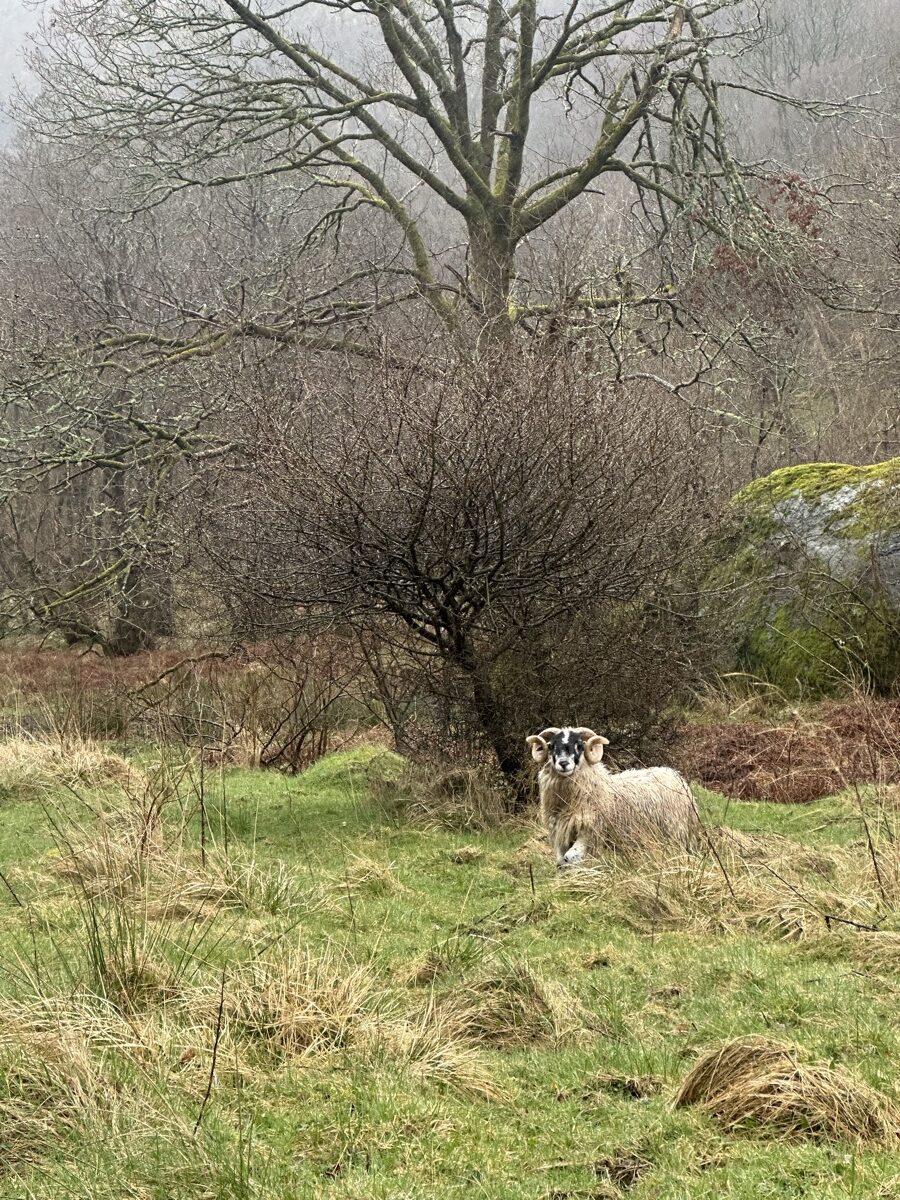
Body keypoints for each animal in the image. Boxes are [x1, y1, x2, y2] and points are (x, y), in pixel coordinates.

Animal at [525, 726, 701, 866]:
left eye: (580, 746)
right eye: (551, 746)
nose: (563, 763)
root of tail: (673, 774)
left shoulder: (590, 831)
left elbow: (571, 858)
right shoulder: (561, 835)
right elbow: (562, 861)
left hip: (675, 833)